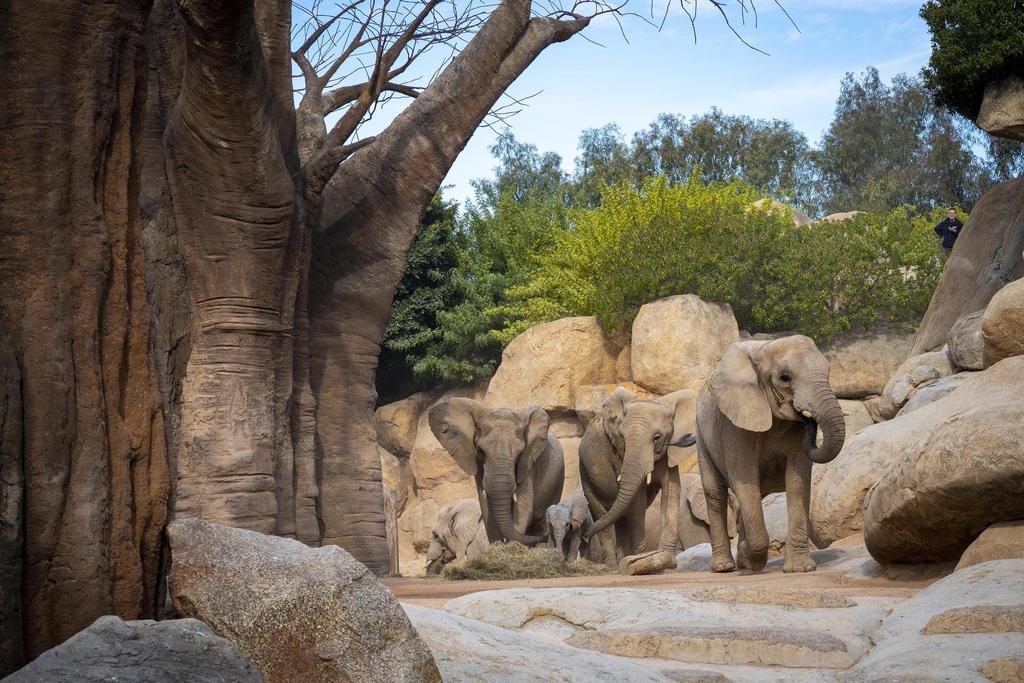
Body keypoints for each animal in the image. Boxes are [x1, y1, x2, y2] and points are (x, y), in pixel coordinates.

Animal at [428, 399, 565, 545]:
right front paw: (496, 546)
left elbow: (524, 506)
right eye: (481, 451)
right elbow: (485, 506)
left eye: (520, 453)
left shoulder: (528, 462)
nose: (544, 536)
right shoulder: (479, 465)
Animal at [579, 387, 697, 566]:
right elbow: (637, 501)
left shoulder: (668, 455)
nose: (584, 537)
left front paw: (667, 559)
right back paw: (612, 566)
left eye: (657, 438)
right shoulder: (619, 455)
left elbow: (671, 493)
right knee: (602, 514)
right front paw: (641, 559)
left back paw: (622, 560)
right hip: (585, 474)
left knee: (620, 518)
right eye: (622, 436)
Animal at [696, 335, 845, 574]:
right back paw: (724, 567)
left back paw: (742, 562)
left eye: (828, 370)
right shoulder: (734, 422)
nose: (809, 419)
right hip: (701, 434)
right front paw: (750, 555)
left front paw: (799, 570)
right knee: (715, 493)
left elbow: (797, 481)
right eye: (785, 377)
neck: (765, 349)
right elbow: (744, 481)